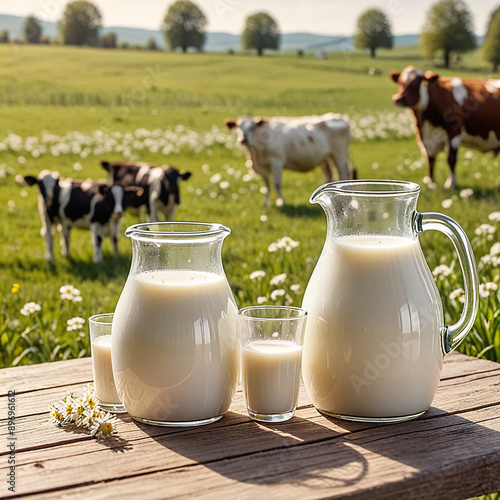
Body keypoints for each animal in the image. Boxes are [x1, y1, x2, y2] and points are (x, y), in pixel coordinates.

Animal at [225, 113, 354, 205]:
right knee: (329, 174)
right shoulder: (261, 166)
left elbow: (277, 183)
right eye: (237, 126)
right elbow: (267, 185)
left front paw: (280, 202)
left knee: (343, 173)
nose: (242, 140)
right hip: (326, 157)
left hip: (339, 155)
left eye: (252, 127)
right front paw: (266, 203)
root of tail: (341, 117)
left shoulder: (276, 161)